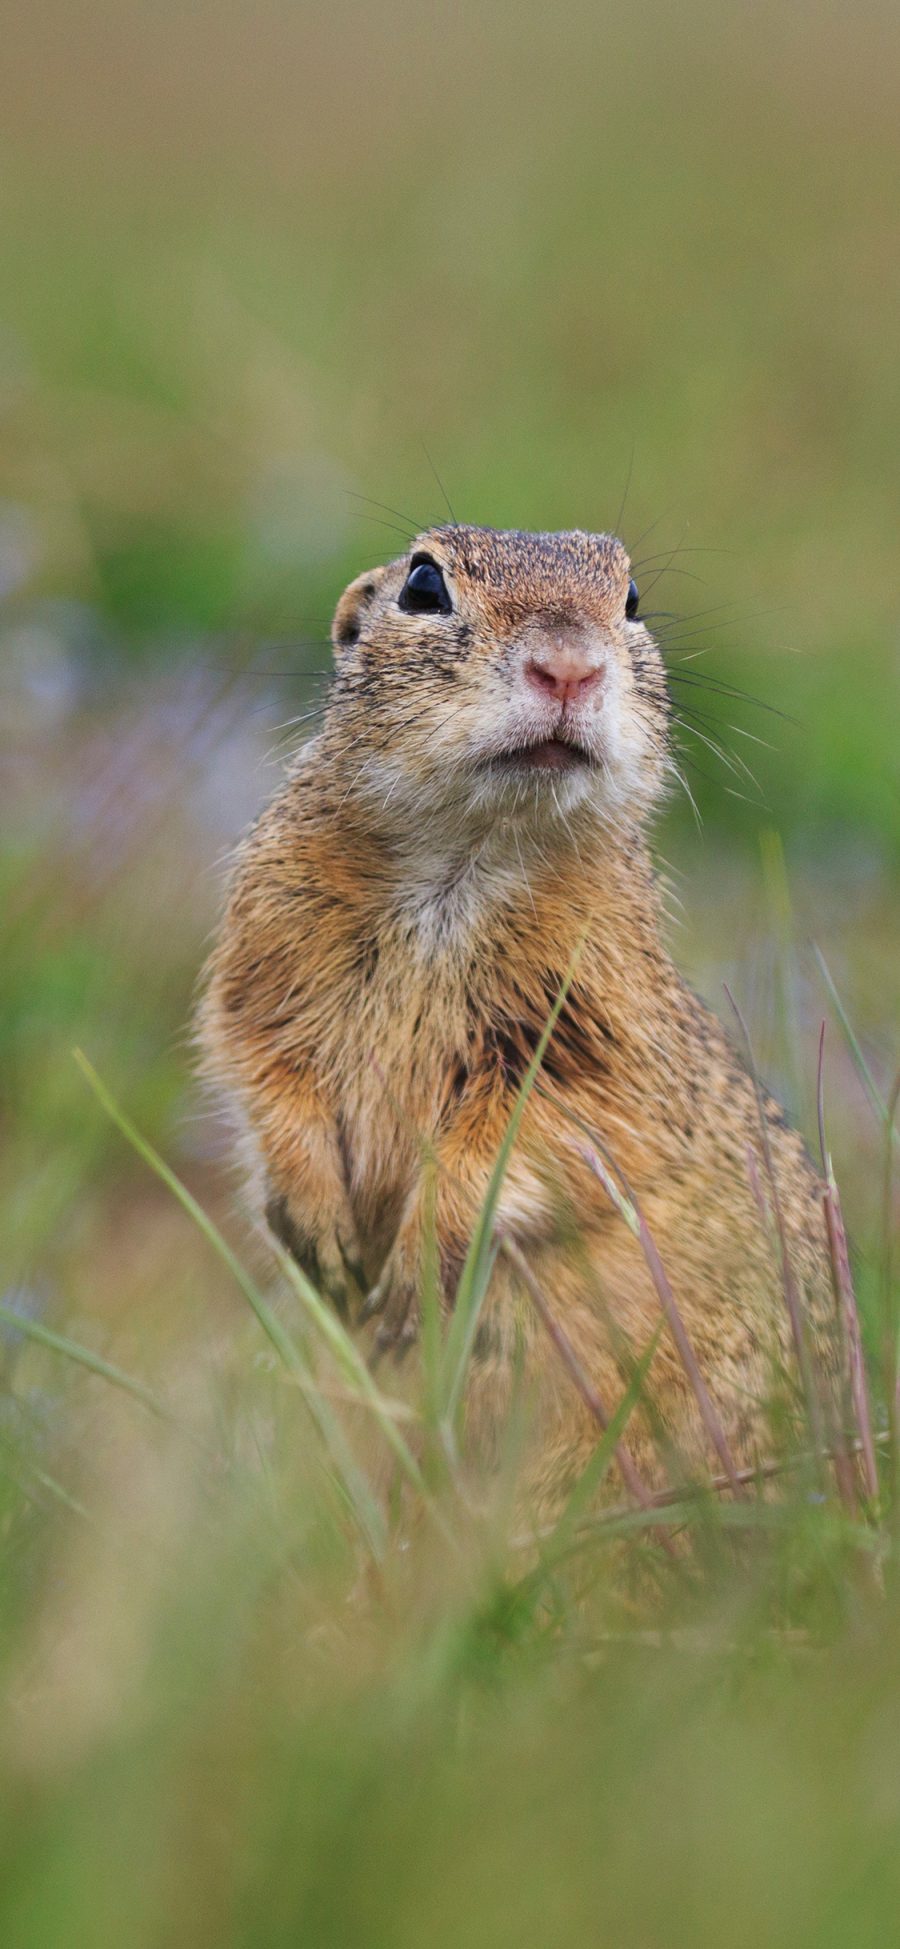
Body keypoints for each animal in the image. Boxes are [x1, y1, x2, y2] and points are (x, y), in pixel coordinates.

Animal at [200, 526, 833, 1496]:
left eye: (631, 598)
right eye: (424, 585)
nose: (569, 667)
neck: (468, 854)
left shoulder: (600, 1030)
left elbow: (540, 1133)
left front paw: (414, 1274)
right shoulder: (265, 954)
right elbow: (264, 1065)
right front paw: (322, 1234)